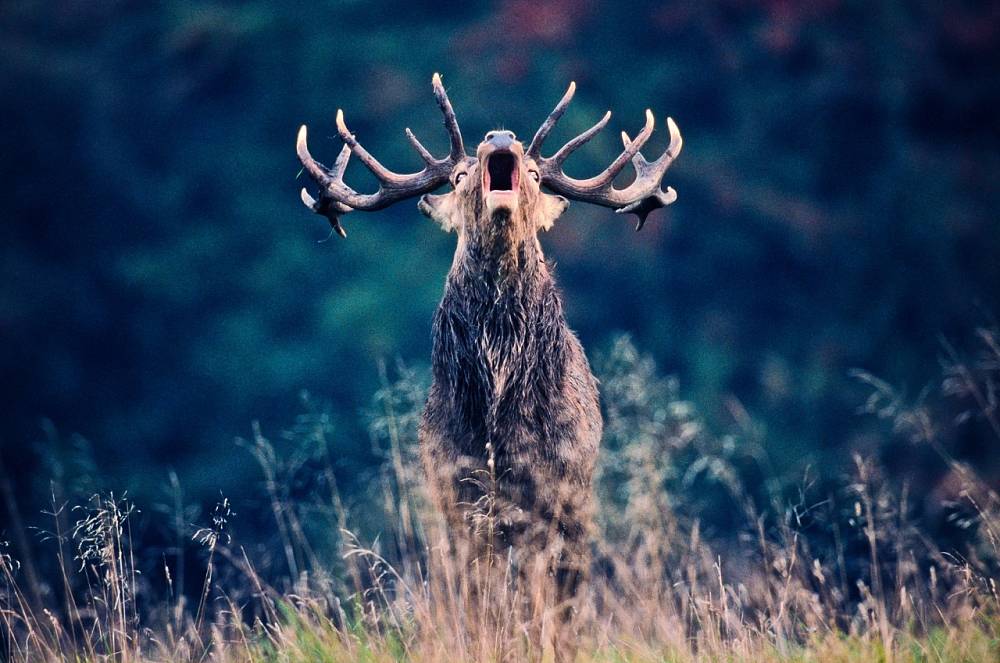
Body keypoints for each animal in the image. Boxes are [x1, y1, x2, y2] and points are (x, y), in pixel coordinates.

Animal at [292, 75, 680, 624]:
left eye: (536, 174)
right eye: (458, 177)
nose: (500, 137)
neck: (499, 407)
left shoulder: (557, 489)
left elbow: (544, 596)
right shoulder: (455, 490)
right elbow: (477, 596)